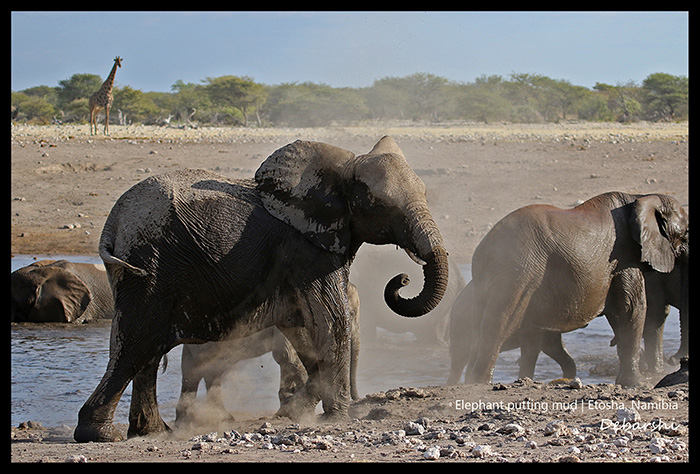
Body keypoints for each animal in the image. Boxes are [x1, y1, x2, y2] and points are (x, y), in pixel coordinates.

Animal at [175, 282, 360, 422]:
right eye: (351, 313)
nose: (356, 399)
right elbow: (287, 358)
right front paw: (301, 413)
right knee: (198, 374)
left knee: (203, 375)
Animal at [448, 191, 688, 386]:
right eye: (685, 235)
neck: (640, 198)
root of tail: (483, 252)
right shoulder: (624, 256)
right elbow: (632, 309)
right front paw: (637, 385)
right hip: (518, 272)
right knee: (498, 325)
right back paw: (479, 383)